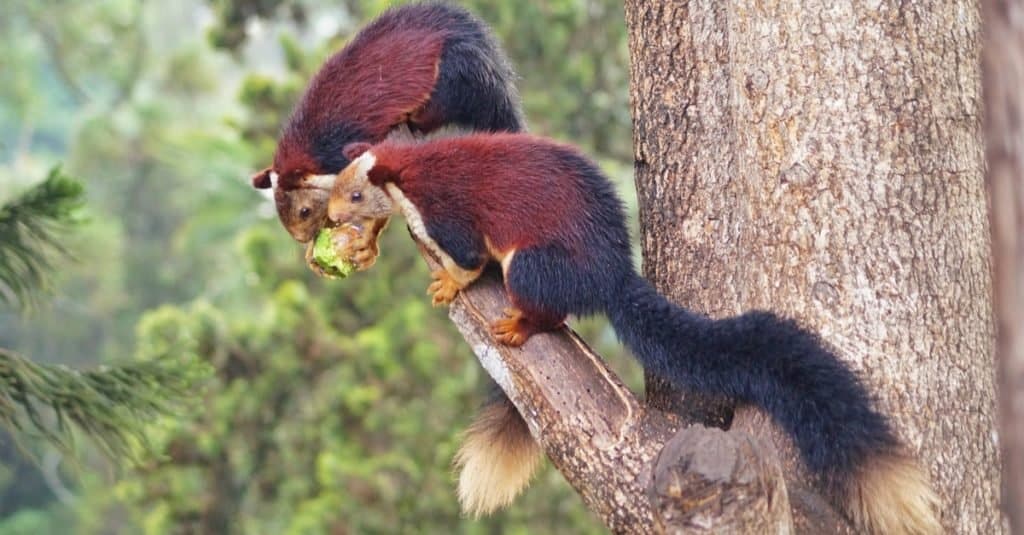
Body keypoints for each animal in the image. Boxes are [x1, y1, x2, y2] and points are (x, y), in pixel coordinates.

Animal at [327, 130, 942, 532]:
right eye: (334, 186)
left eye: (353, 194)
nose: (330, 218)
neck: (409, 172)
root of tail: (613, 276)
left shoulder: (448, 213)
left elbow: (468, 259)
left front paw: (446, 284)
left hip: (531, 264)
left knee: (545, 308)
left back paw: (518, 325)